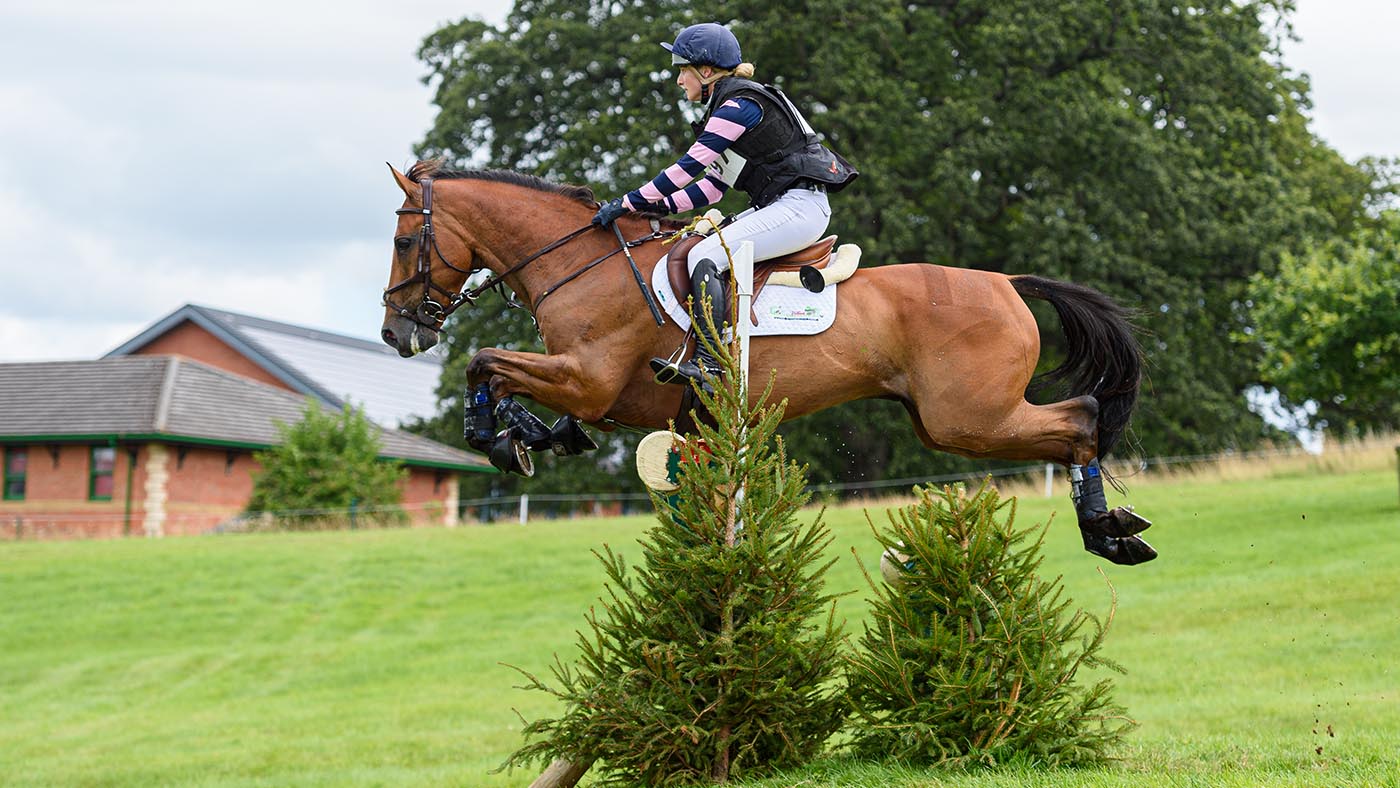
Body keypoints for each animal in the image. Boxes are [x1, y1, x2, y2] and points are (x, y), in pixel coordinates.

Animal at [380, 160, 1156, 565]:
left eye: (401, 242)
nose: (395, 332)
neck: (583, 262)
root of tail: (1008, 283)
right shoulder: (605, 395)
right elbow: (505, 377)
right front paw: (528, 434)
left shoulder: (588, 379)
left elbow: (486, 361)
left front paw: (497, 437)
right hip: (951, 420)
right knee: (1077, 421)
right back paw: (1111, 528)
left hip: (968, 417)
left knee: (1081, 419)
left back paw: (1105, 530)